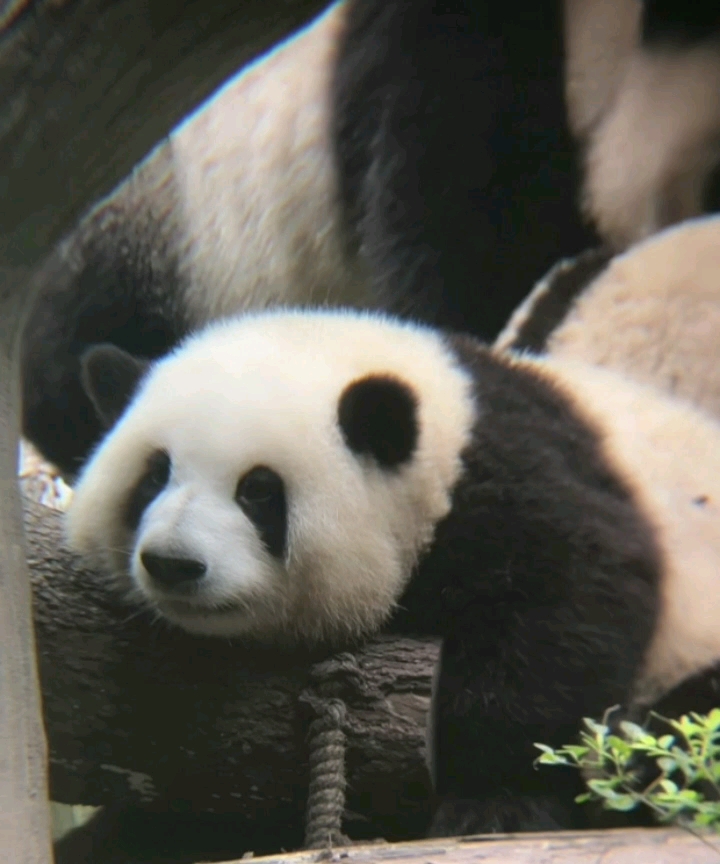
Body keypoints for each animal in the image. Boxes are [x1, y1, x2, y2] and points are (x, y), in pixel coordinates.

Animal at [66, 308, 720, 832]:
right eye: (154, 474)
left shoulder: (515, 484)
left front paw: (495, 803)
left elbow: (567, 608)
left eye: (259, 491)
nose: (173, 564)